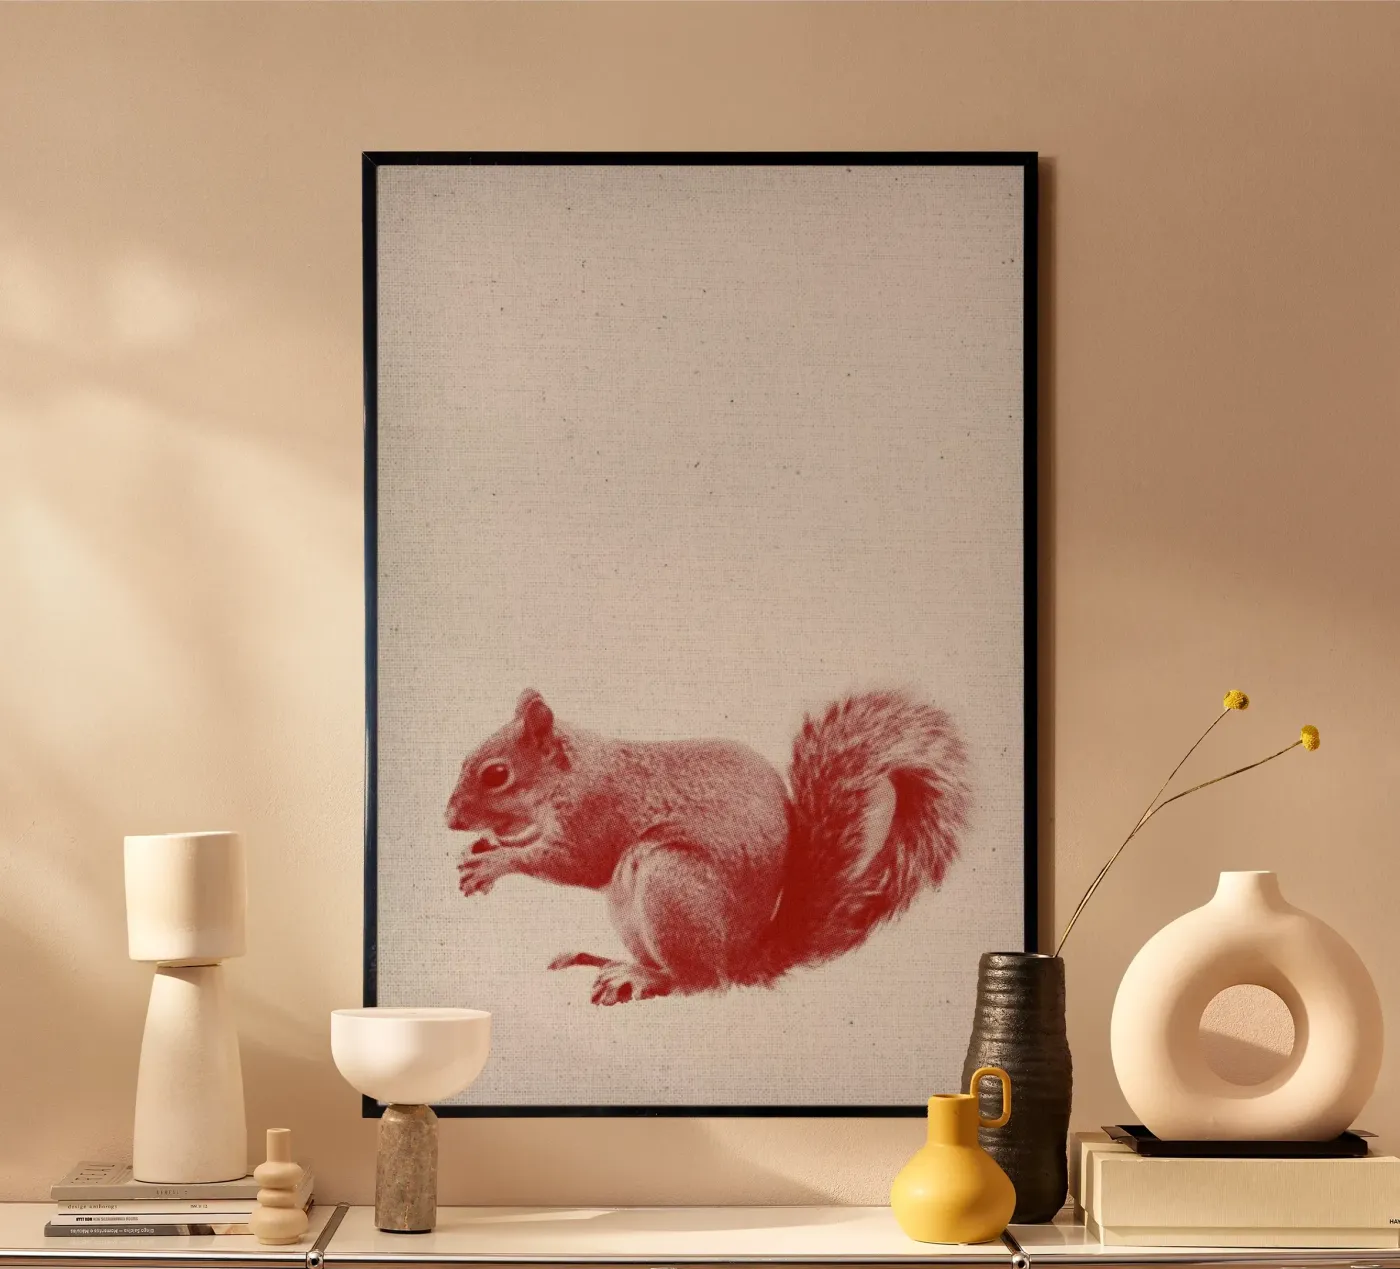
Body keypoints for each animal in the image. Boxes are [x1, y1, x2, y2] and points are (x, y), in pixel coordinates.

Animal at [446, 688, 970, 1006]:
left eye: (497, 774)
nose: (450, 819)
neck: (572, 773)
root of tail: (742, 956)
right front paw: (484, 845)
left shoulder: (599, 812)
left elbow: (574, 862)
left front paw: (494, 862)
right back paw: (606, 962)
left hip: (669, 881)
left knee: (699, 983)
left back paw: (644, 977)